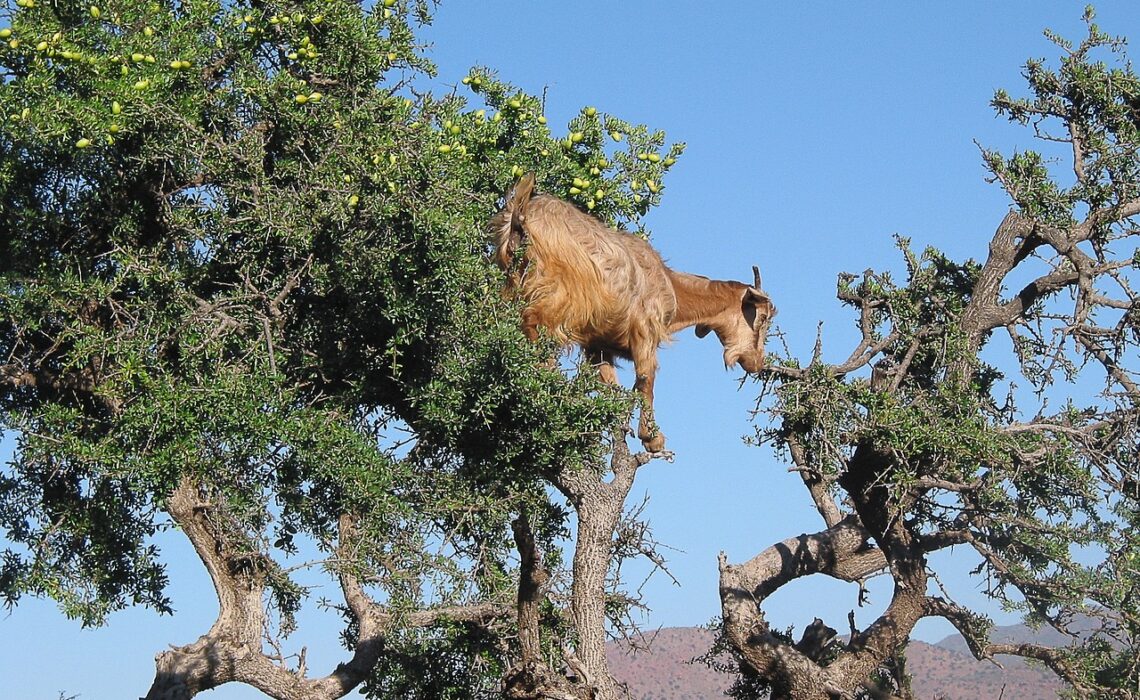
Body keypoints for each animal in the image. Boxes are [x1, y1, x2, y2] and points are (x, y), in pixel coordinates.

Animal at [490, 173, 775, 453]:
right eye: (761, 318)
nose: (757, 363)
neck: (671, 286)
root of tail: (521, 214)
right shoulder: (644, 331)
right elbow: (646, 380)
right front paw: (652, 437)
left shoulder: (598, 344)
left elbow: (610, 383)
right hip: (560, 297)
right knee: (532, 320)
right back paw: (546, 374)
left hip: (511, 284)